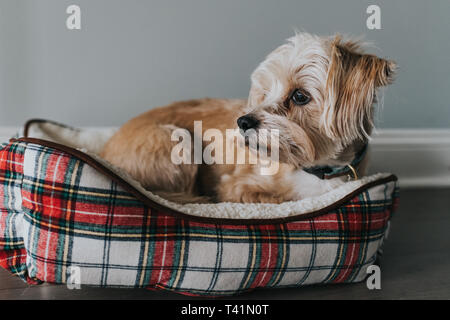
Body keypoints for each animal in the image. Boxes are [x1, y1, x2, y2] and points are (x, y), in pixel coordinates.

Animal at [100, 31, 396, 202]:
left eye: (300, 96)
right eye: (264, 93)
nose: (242, 122)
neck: (317, 169)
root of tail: (106, 152)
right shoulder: (235, 187)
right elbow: (281, 199)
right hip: (177, 140)